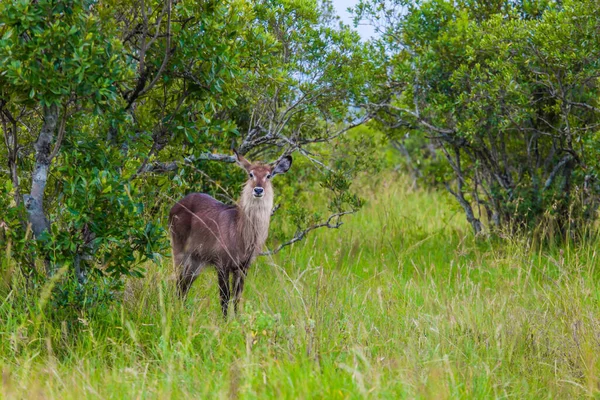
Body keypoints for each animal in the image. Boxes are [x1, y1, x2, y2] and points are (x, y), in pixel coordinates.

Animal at [168, 148, 292, 318]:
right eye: (251, 174)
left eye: (268, 175)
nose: (258, 189)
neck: (242, 235)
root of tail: (175, 206)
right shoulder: (222, 264)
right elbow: (225, 297)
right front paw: (225, 321)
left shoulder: (243, 267)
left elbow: (237, 297)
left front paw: (238, 320)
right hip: (179, 252)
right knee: (178, 283)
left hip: (196, 261)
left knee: (184, 286)